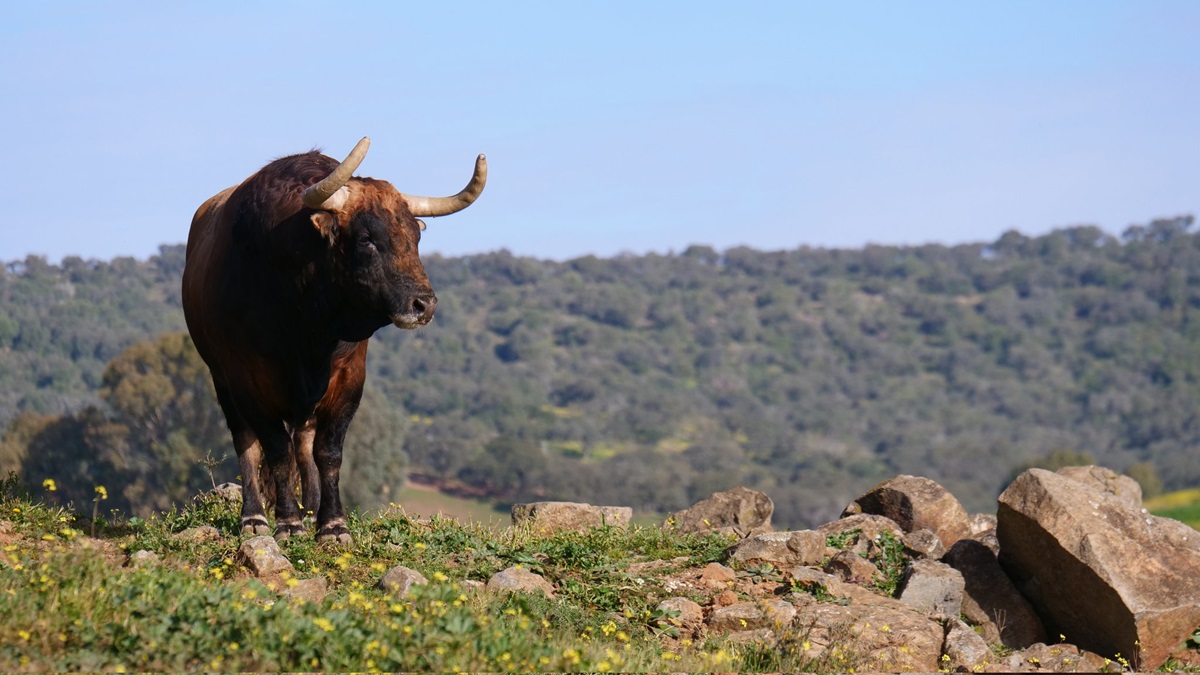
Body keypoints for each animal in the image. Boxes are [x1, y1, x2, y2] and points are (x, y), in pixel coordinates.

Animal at [182, 136, 482, 540]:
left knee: (304, 442)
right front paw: (287, 521)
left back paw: (310, 508)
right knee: (248, 443)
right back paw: (256, 516)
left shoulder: (349, 379)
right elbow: (273, 450)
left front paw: (331, 523)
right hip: (222, 380)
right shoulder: (246, 379)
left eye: (416, 235)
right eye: (367, 238)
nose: (424, 304)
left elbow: (328, 452)